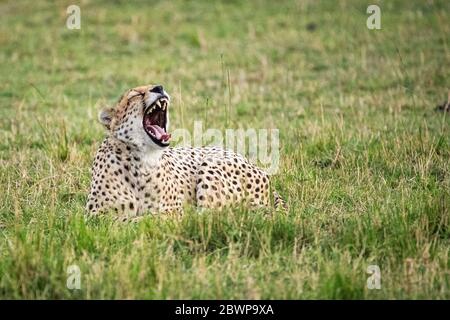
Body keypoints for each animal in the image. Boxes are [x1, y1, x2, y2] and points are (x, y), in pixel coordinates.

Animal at [86, 84, 284, 216]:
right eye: (136, 94)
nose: (159, 87)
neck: (141, 160)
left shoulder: (172, 210)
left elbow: (155, 218)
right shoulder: (94, 217)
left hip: (211, 166)